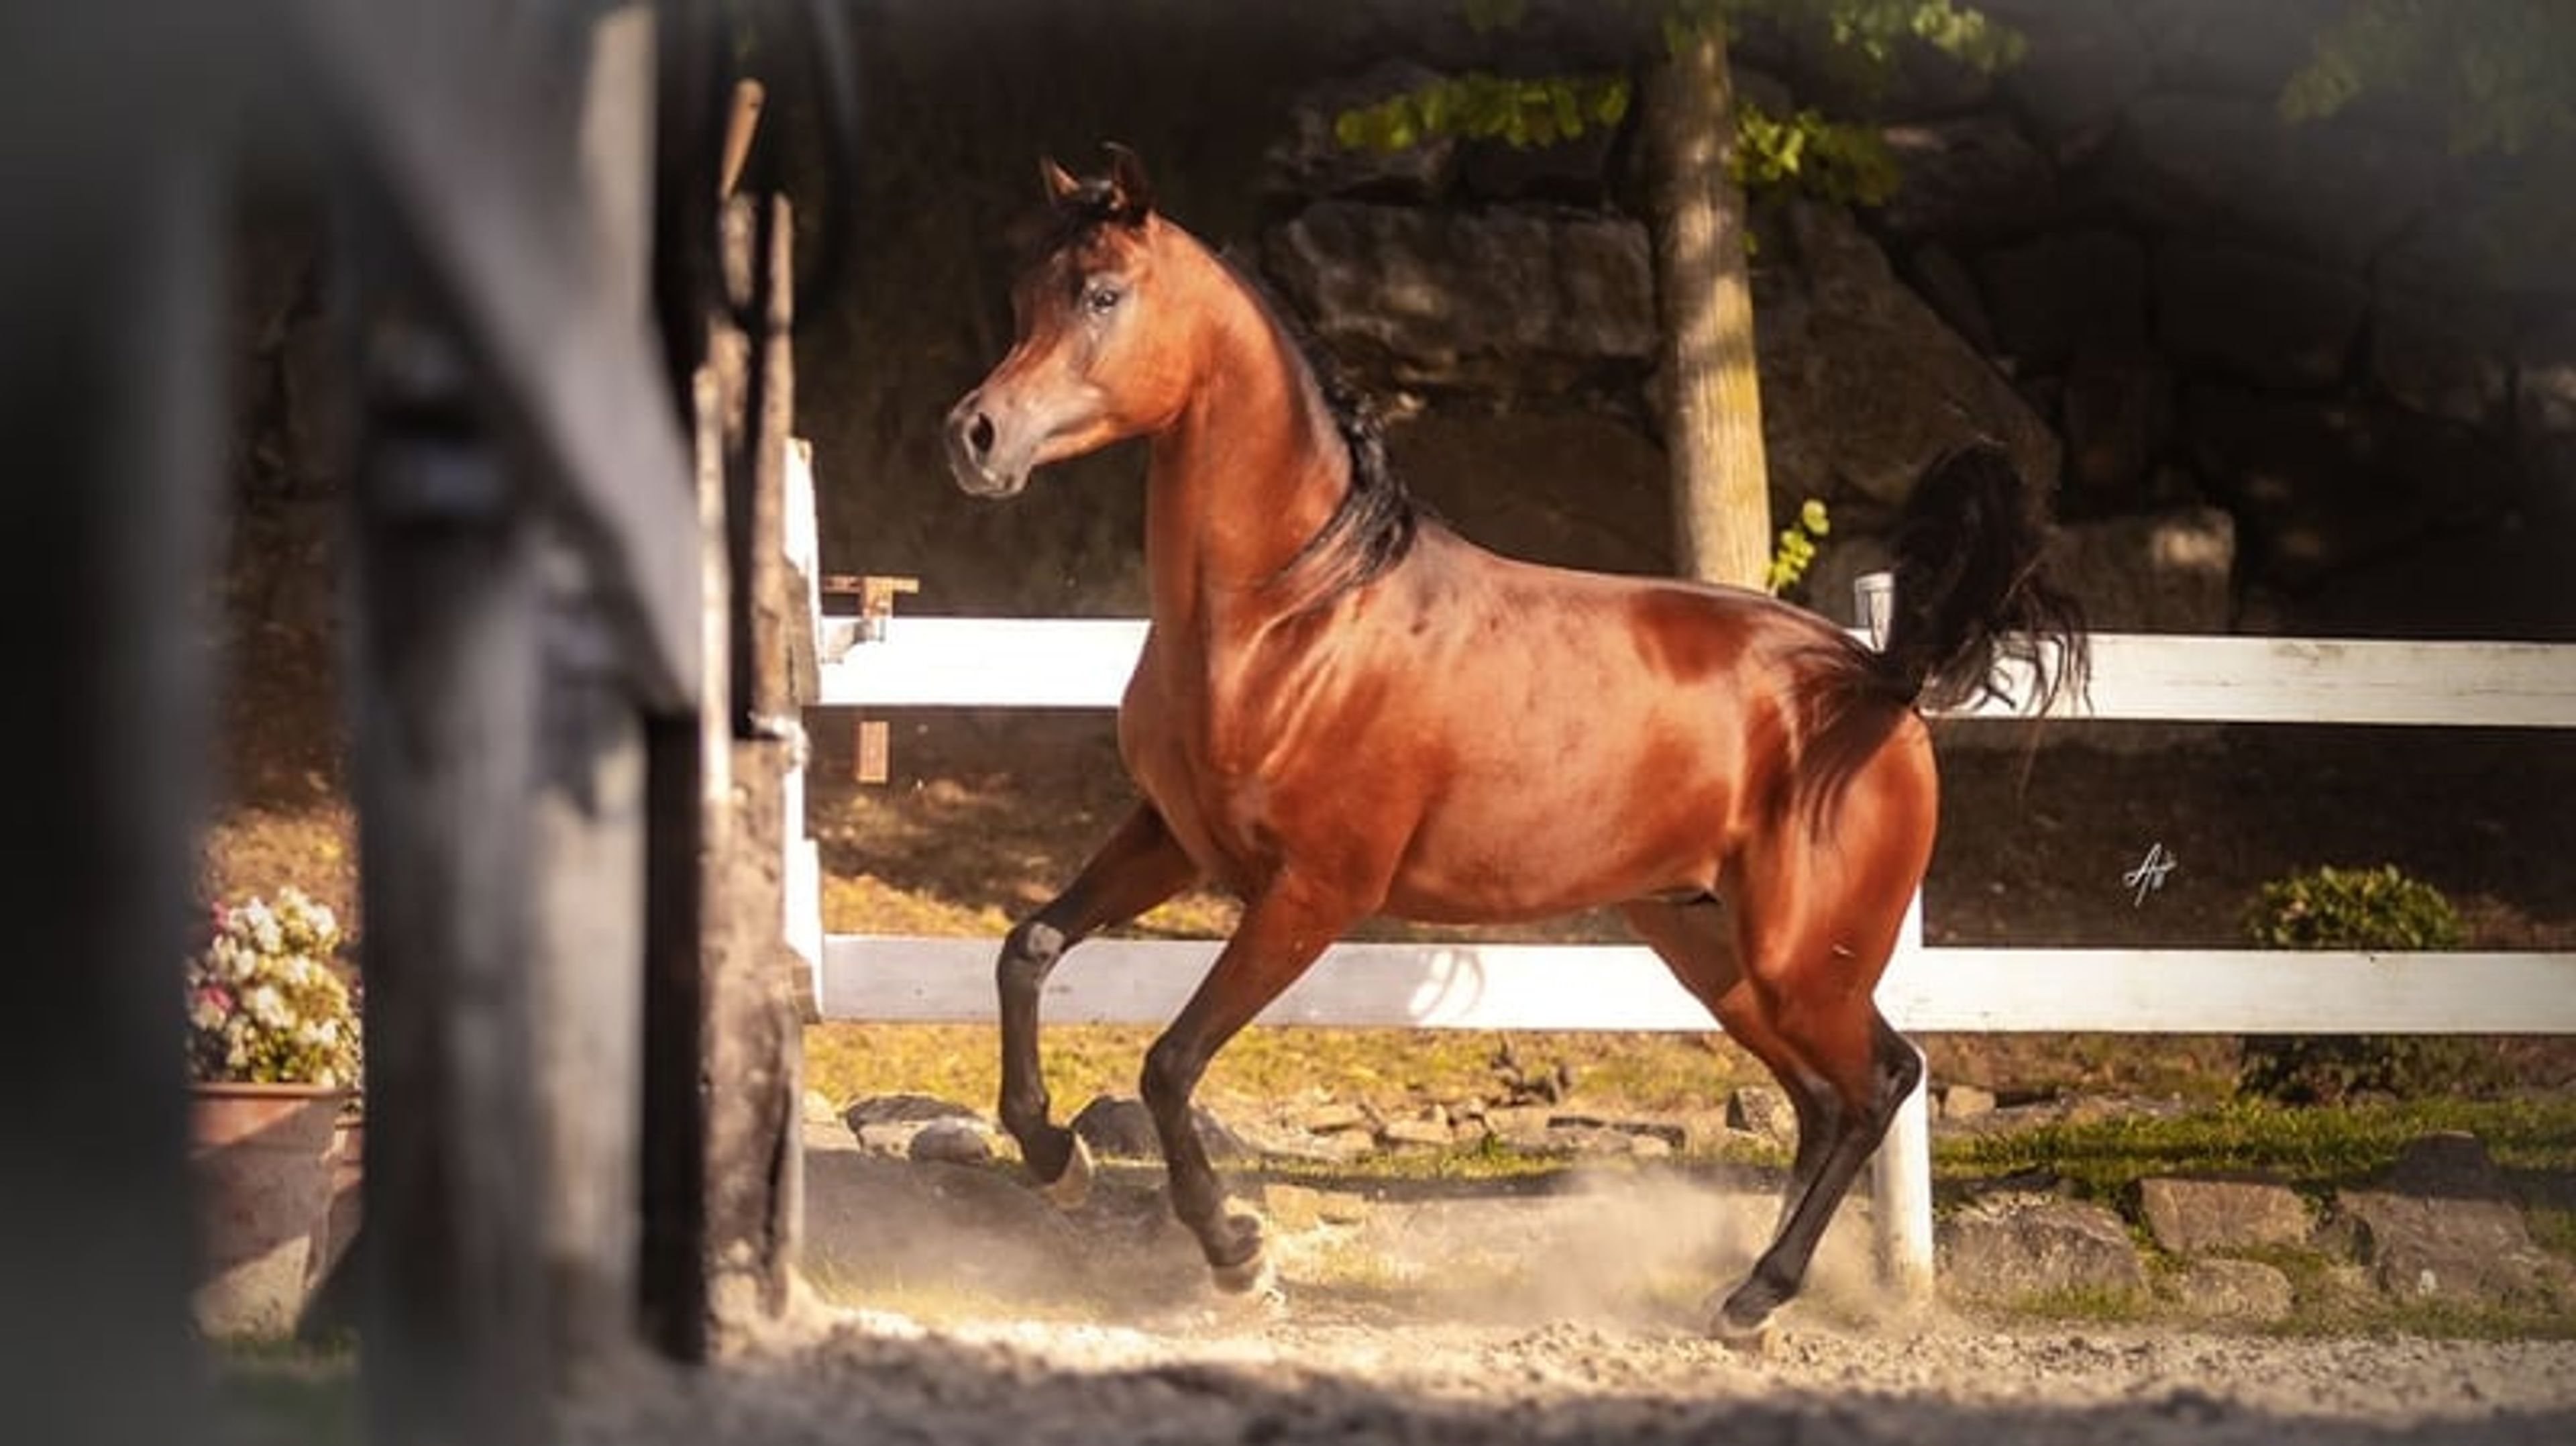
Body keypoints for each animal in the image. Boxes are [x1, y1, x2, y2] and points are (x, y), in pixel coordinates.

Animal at [943, 144, 2085, 1339]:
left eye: (1104, 294)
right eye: (1026, 293)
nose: (975, 436)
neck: (1292, 616)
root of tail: (1877, 677)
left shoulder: (1313, 893)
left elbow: (1168, 1064)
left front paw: (1238, 1258)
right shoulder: (1172, 836)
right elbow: (1026, 948)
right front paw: (1055, 1156)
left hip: (1799, 958)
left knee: (1881, 1081)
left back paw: (1757, 1292)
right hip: (1710, 947)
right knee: (1825, 1098)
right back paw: (1749, 1289)